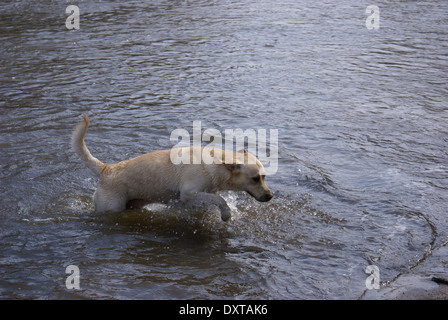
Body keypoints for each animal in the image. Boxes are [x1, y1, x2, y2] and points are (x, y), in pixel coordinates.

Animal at [72, 116, 272, 221]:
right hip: (112, 208)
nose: (270, 196)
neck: (215, 164)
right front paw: (226, 213)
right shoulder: (189, 192)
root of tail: (106, 169)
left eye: (265, 177)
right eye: (255, 178)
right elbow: (220, 199)